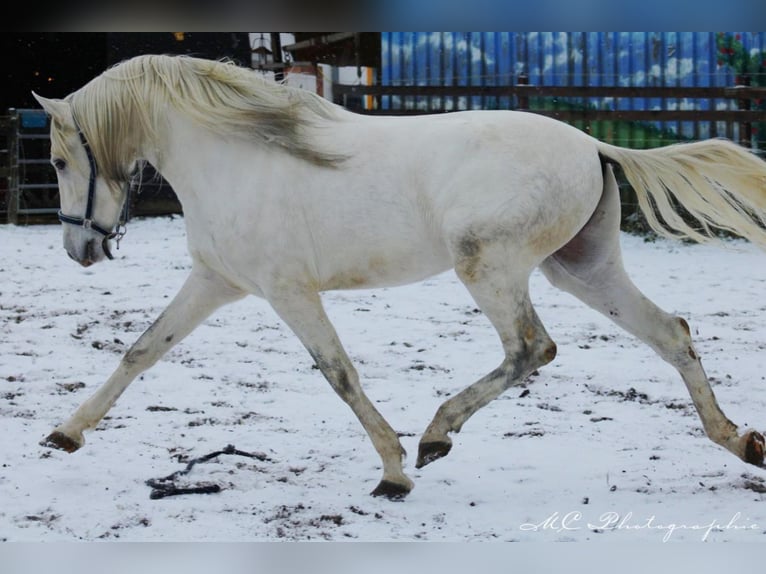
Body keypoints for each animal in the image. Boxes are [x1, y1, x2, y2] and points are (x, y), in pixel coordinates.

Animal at [33, 56, 766, 502]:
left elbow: (339, 374)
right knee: (671, 333)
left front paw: (392, 472)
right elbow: (141, 351)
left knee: (532, 348)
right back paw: (740, 442)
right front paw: (65, 434)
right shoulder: (217, 282)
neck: (236, 158)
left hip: (489, 266)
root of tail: (590, 144)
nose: (78, 249)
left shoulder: (287, 292)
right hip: (582, 268)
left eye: (62, 160)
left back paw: (436, 436)